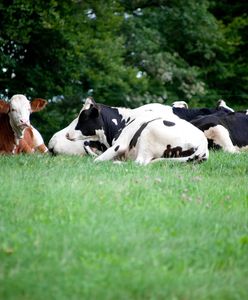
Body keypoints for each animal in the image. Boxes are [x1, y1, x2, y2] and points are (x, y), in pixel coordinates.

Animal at [67, 97, 208, 164]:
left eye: (84, 117)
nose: (67, 134)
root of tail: (203, 145)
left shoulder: (120, 144)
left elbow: (96, 160)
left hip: (149, 133)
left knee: (139, 163)